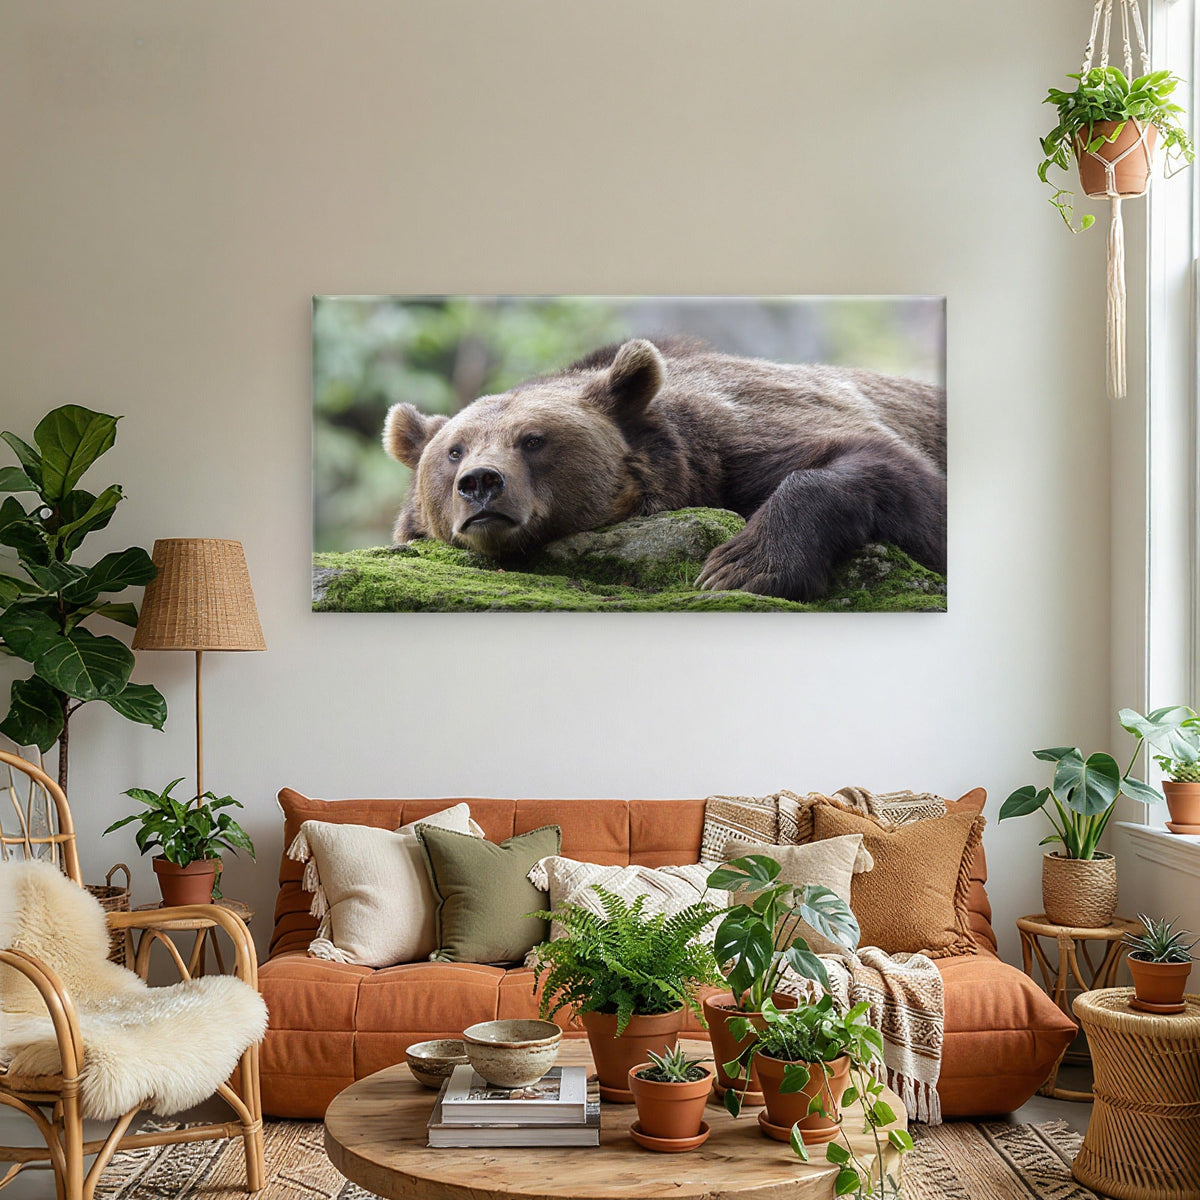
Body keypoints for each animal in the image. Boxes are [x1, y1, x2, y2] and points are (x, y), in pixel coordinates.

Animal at [382, 338, 946, 602]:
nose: (481, 483)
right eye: (455, 451)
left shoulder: (741, 435)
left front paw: (741, 565)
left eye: (533, 440)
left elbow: (893, 471)